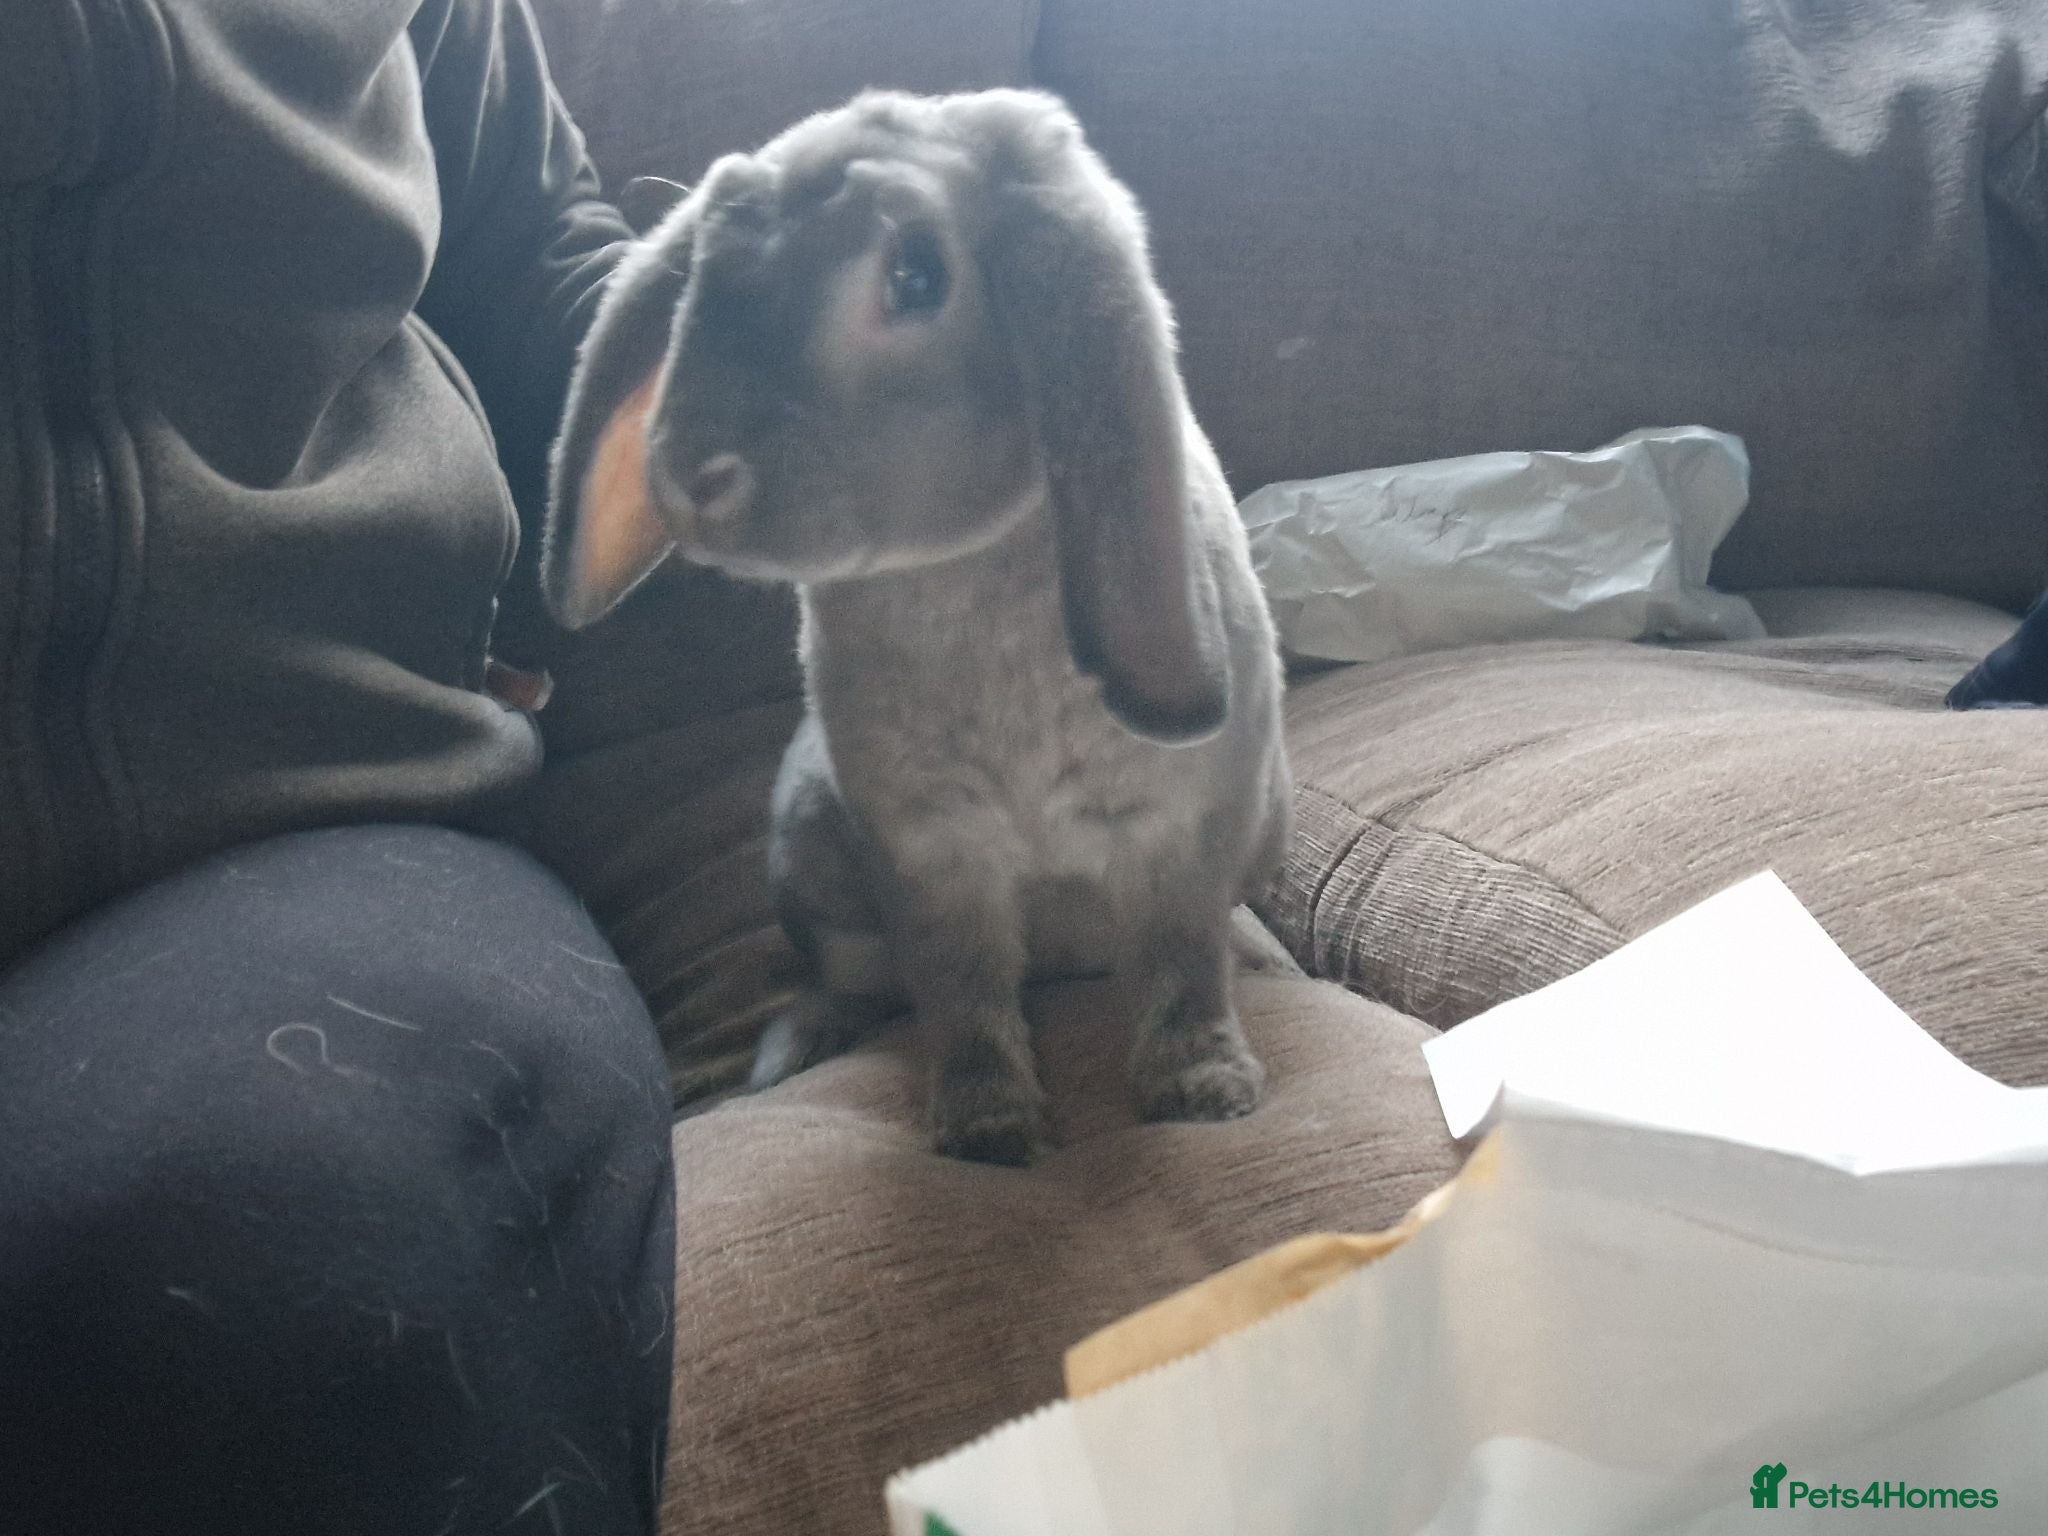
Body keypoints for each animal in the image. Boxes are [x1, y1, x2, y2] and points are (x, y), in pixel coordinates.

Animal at [542, 88, 1293, 1165]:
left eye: (916, 274)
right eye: (700, 277)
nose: (682, 472)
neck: (951, 576)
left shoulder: (1181, 837)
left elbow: (1181, 963)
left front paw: (1206, 1094)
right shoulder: (929, 852)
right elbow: (958, 989)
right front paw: (987, 1134)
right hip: (810, 851)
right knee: (866, 986)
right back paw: (800, 1044)